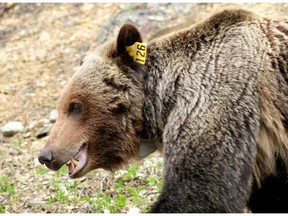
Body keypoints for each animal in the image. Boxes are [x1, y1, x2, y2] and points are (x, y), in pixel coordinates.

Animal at [39, 8, 288, 213]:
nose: (45, 155)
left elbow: (200, 189)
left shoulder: (219, 100)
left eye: (75, 106)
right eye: (61, 107)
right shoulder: (269, 154)